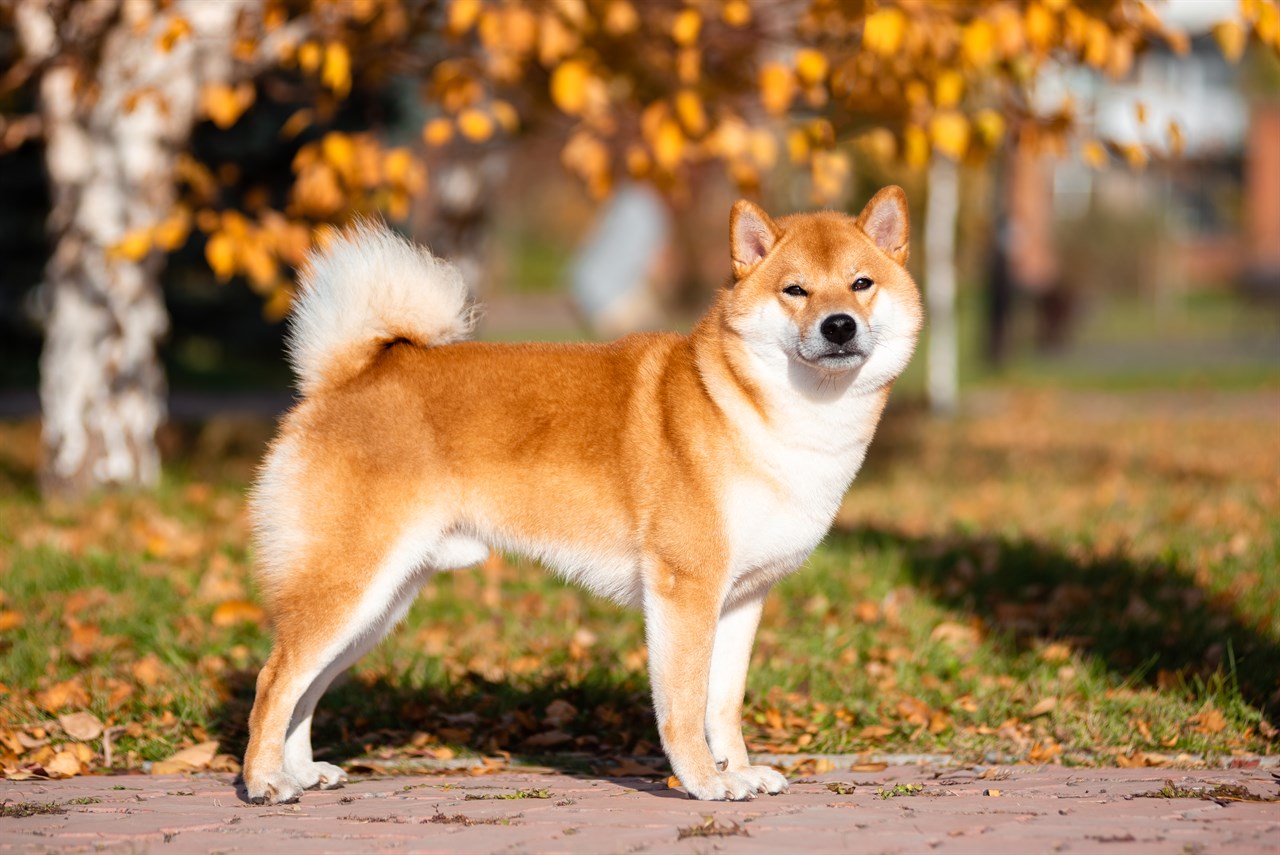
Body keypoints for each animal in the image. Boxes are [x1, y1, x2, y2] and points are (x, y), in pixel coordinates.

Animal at [241, 185, 921, 803]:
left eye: (861, 284)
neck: (760, 413)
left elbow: (722, 705)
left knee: (305, 691)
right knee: (274, 680)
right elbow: (684, 705)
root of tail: (346, 377)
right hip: (348, 588)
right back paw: (264, 782)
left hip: (379, 604)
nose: (839, 325)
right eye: (795, 290)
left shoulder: (742, 598)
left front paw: (739, 771)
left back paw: (301, 771)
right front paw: (704, 783)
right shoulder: (684, 590)